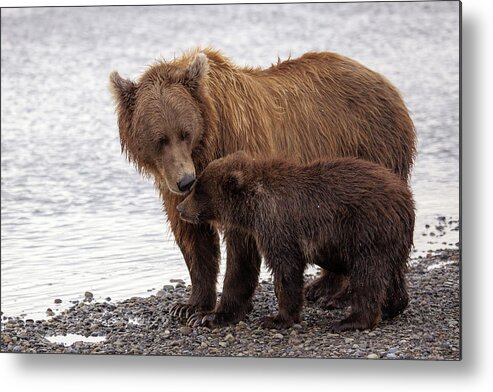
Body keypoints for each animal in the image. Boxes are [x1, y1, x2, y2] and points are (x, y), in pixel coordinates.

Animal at [175, 153, 414, 330]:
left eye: (198, 190)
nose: (180, 208)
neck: (251, 209)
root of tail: (406, 198)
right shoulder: (253, 231)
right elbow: (243, 266)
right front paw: (207, 316)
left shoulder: (278, 225)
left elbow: (286, 270)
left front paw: (276, 319)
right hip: (389, 239)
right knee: (391, 273)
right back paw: (391, 306)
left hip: (367, 230)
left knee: (368, 275)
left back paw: (349, 321)